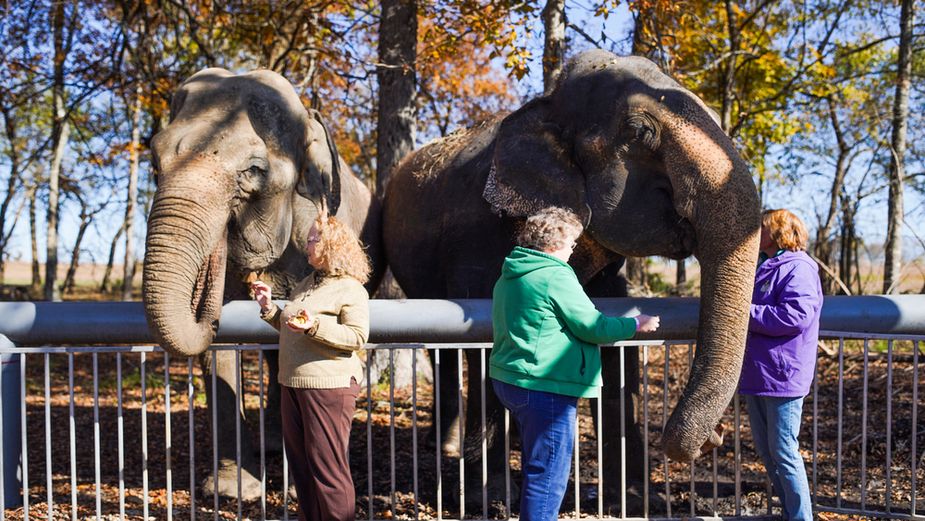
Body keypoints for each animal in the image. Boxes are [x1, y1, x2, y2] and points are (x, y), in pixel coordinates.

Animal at [382, 50, 760, 513]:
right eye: (640, 132)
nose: (716, 437)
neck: (546, 105)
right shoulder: (474, 237)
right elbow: (486, 340)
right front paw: (490, 501)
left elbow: (613, 342)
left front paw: (637, 500)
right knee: (445, 355)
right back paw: (448, 451)